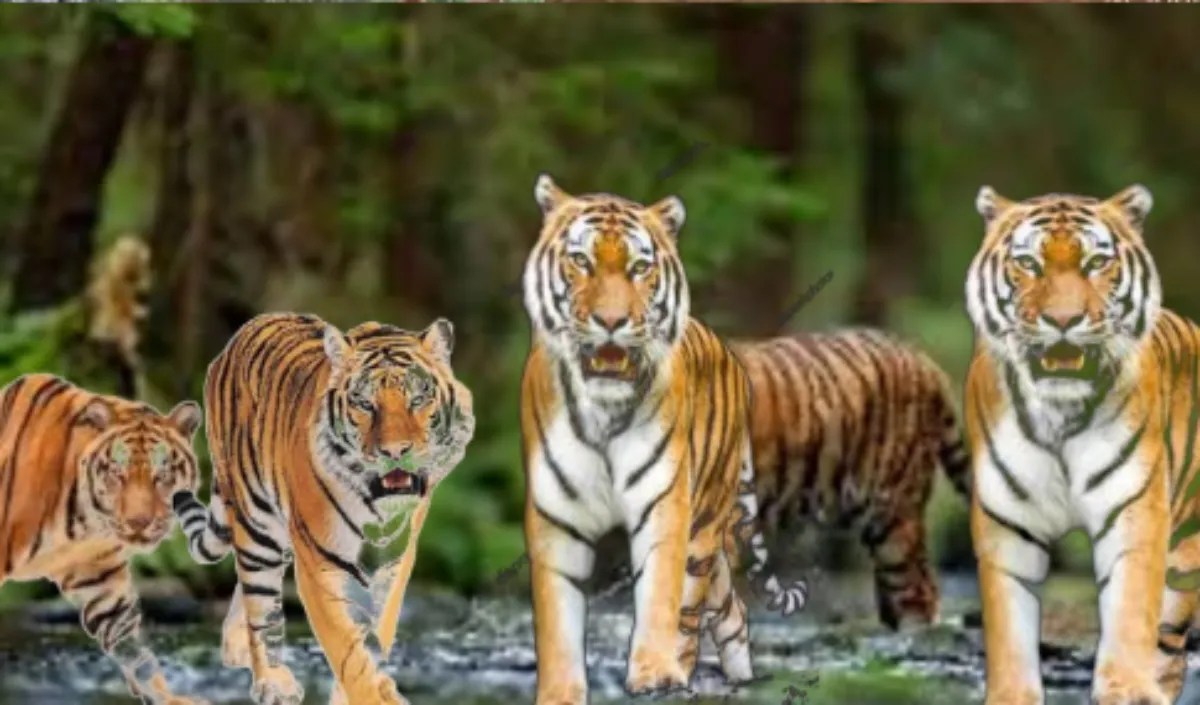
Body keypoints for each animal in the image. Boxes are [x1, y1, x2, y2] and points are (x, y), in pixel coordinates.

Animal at [0, 373, 204, 705]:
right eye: (117, 473)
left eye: (162, 474)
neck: (86, 525)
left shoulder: (98, 577)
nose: (138, 523)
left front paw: (167, 697)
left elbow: (131, 646)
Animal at [171, 313, 475, 705]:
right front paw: (371, 694)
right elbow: (343, 642)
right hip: (259, 524)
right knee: (260, 598)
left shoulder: (395, 565)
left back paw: (236, 647)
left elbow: (371, 635)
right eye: (364, 404)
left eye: (419, 399)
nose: (395, 452)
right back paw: (272, 680)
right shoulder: (320, 561)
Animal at [521, 175, 805, 705]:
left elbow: (659, 596)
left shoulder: (664, 504)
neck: (604, 413)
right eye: (581, 261)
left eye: (639, 267)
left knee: (696, 609)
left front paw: (654, 674)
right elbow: (557, 619)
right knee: (730, 608)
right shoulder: (556, 518)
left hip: (705, 520)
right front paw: (560, 693)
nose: (612, 321)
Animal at [964, 184, 1200, 705]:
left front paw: (1127, 689)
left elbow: (1130, 608)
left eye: (1096, 263)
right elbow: (1008, 624)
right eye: (1028, 263)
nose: (1063, 319)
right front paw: (1011, 696)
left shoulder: (1134, 511)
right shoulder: (1007, 523)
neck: (1060, 414)